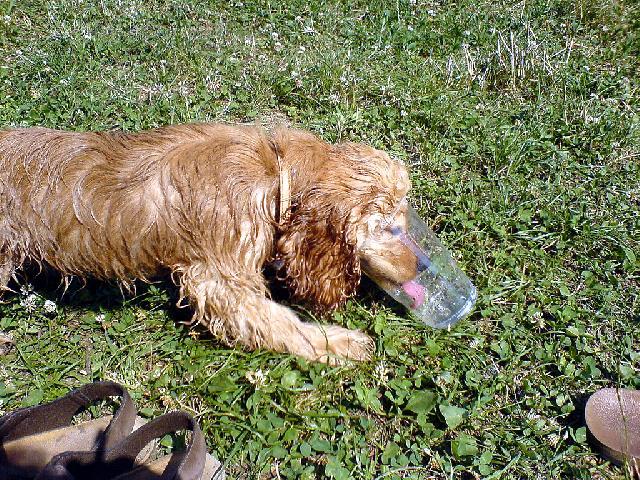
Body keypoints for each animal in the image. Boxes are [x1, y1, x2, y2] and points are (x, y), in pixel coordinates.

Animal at [1, 124, 420, 364]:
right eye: (389, 229)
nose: (420, 267)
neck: (274, 171)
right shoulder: (219, 280)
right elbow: (281, 323)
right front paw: (339, 344)